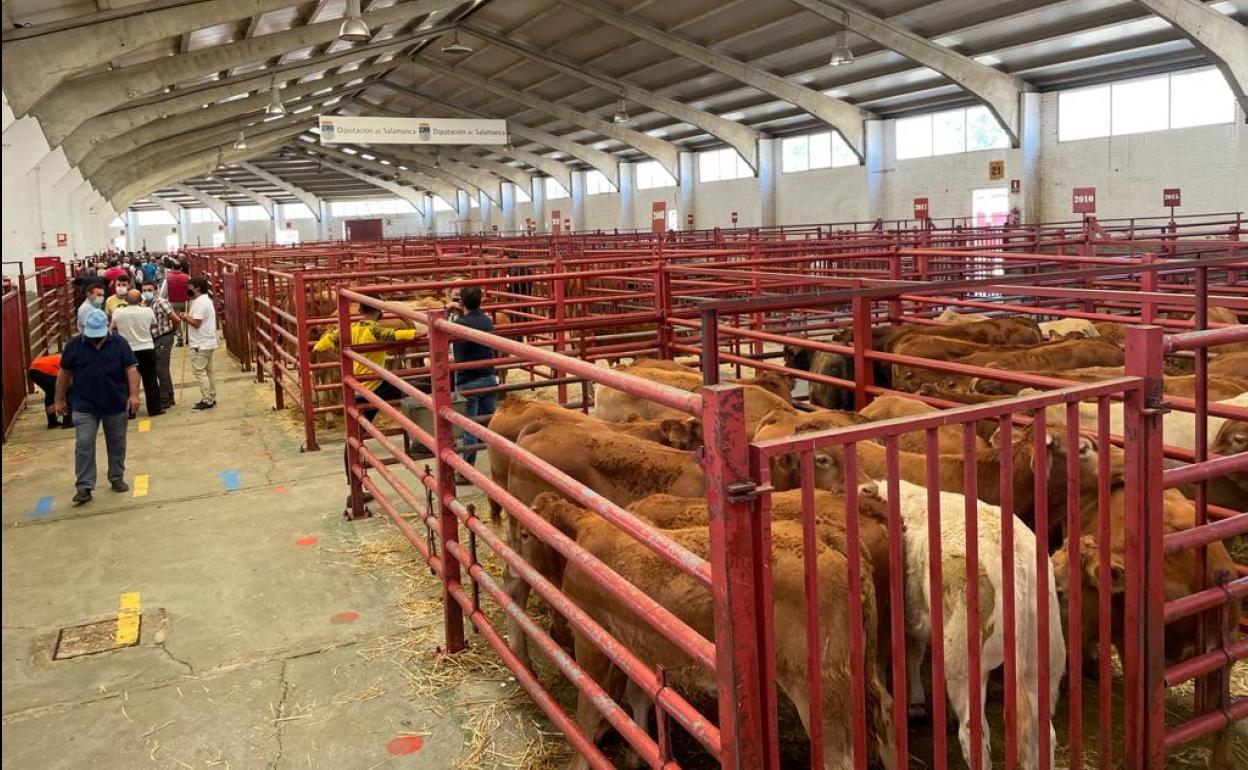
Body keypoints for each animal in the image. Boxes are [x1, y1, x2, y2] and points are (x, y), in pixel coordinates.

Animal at [878, 476, 1063, 763]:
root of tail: (1018, 562)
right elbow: (914, 651)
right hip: (1044, 656)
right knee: (1043, 733)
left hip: (964, 659)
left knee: (974, 733)